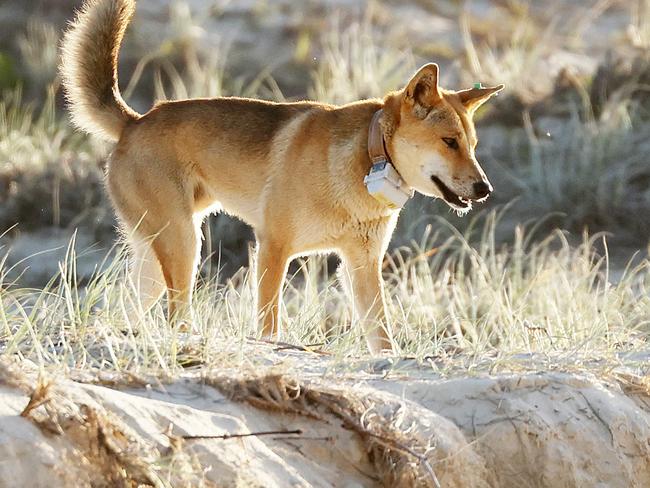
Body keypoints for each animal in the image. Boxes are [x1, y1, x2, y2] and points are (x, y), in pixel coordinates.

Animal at [60, 0, 504, 350]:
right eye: (449, 142)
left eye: (473, 144)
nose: (485, 189)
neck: (363, 163)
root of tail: (134, 122)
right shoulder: (273, 246)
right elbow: (269, 324)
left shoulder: (361, 263)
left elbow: (381, 335)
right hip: (184, 243)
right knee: (175, 314)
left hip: (157, 255)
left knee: (127, 308)